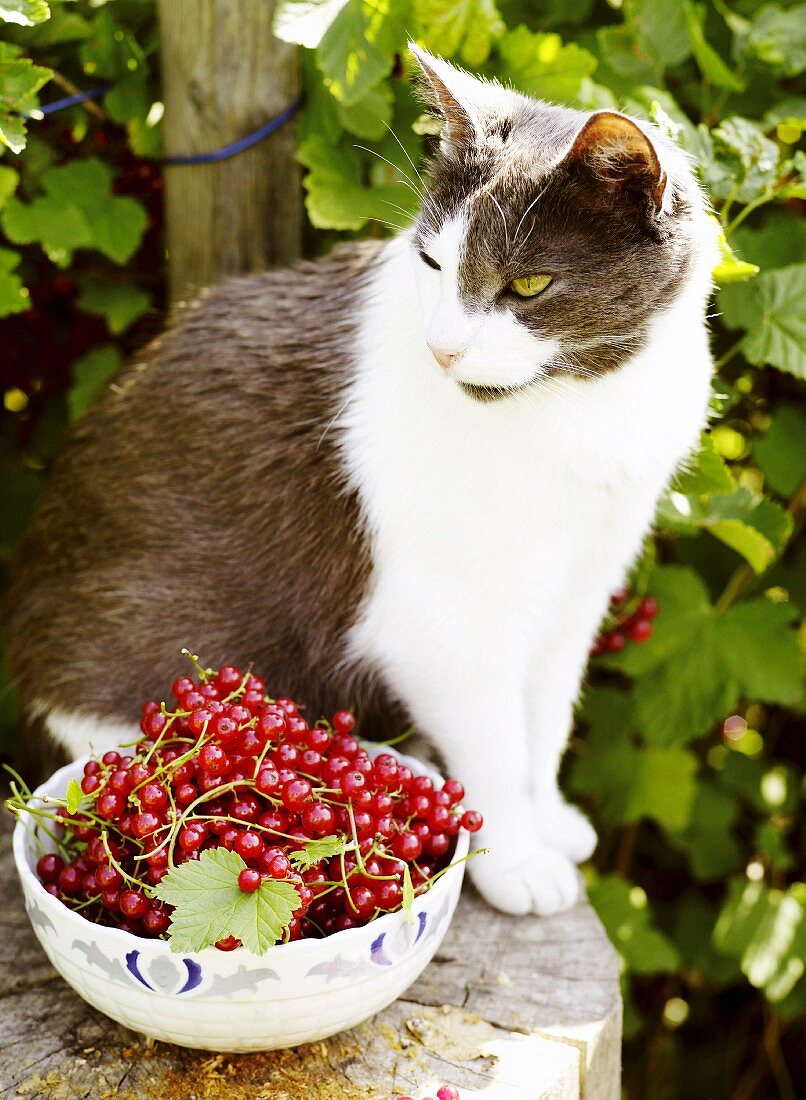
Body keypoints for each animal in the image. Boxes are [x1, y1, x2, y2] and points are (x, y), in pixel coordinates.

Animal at [4, 47, 712, 915]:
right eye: (432, 261)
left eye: (528, 286)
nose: (442, 348)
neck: (580, 404)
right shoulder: (440, 621)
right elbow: (495, 741)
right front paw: (518, 859)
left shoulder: (580, 583)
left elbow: (543, 721)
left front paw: (550, 820)